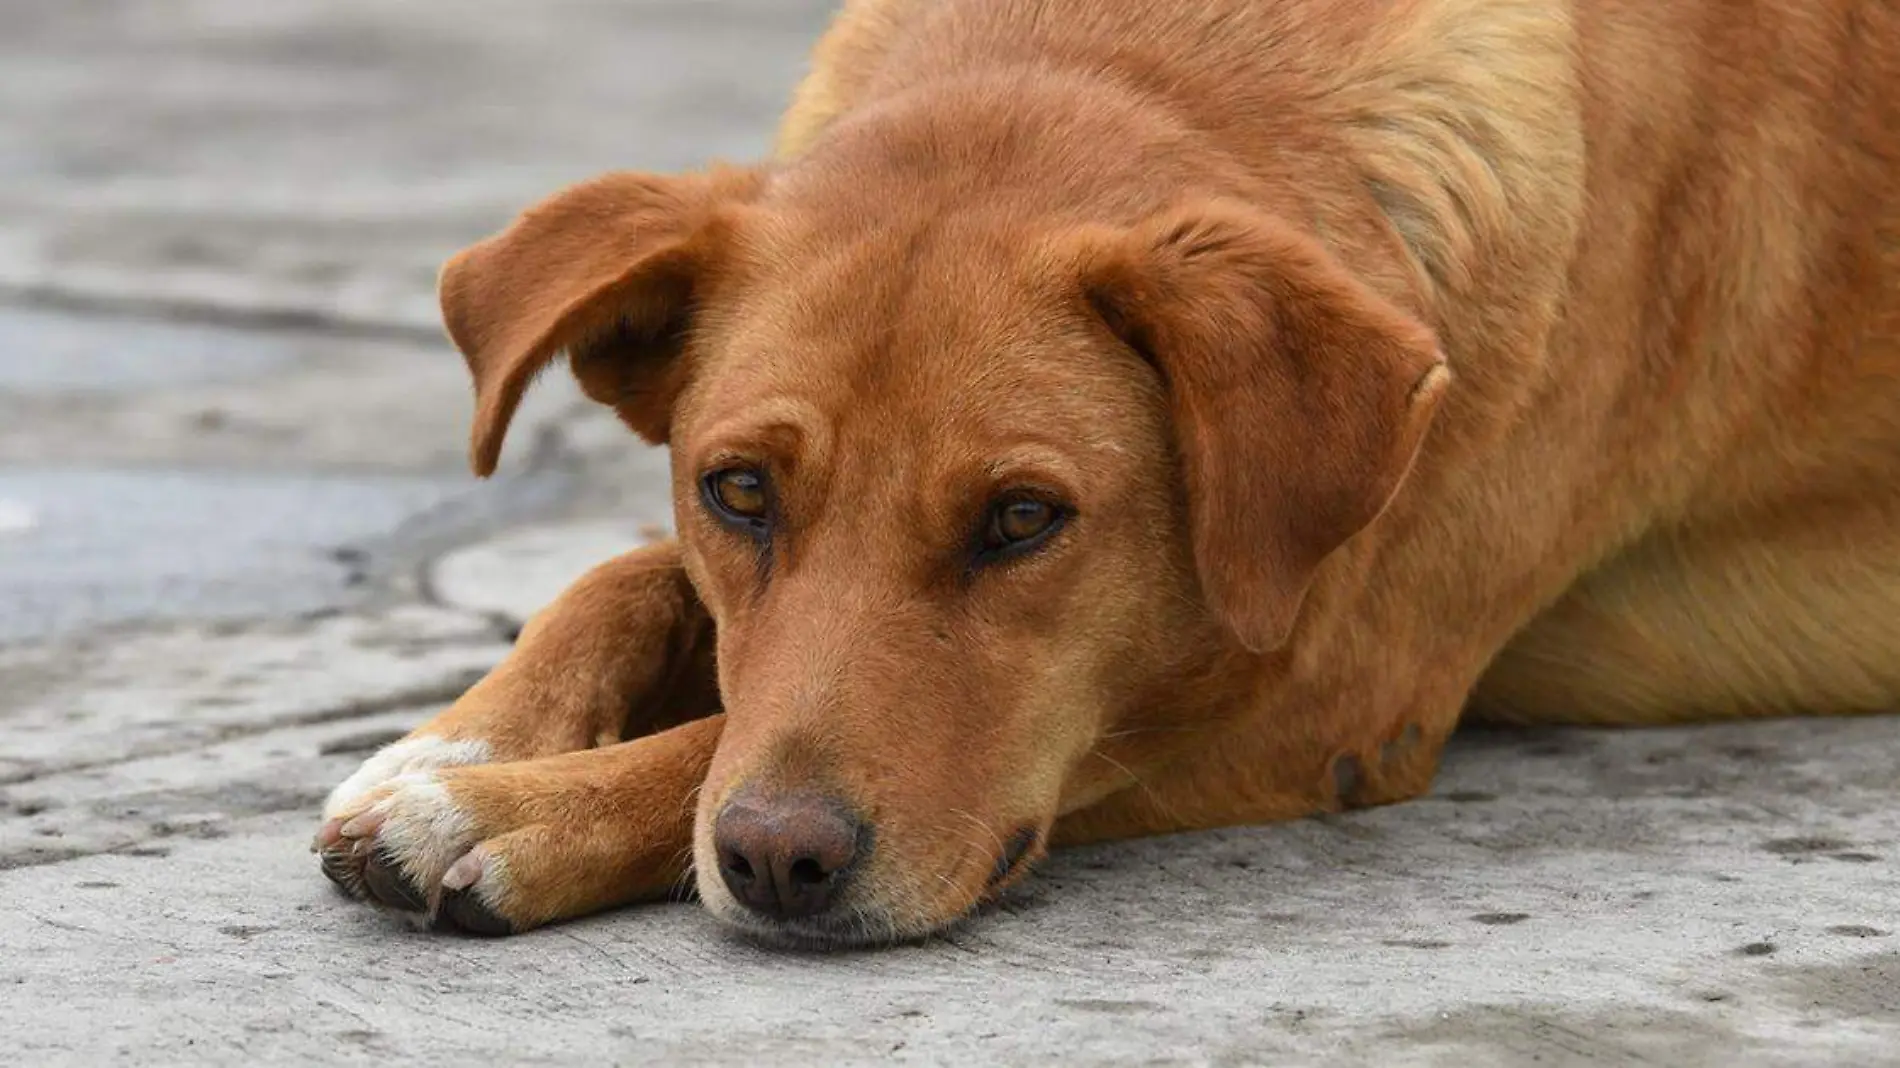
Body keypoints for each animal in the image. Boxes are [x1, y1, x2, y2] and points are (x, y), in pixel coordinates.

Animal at [315, 0, 1900, 942]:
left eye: (1024, 520)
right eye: (739, 494)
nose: (775, 864)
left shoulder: (1311, 697)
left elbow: (709, 743)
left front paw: (513, 813)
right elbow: (619, 578)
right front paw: (456, 745)